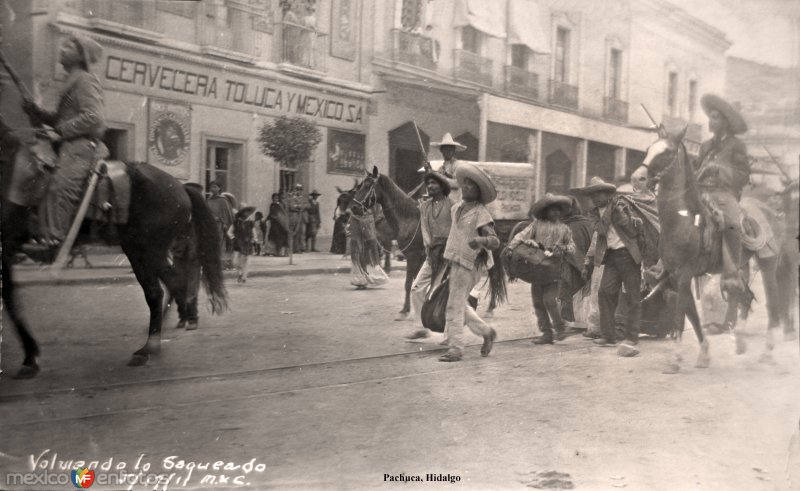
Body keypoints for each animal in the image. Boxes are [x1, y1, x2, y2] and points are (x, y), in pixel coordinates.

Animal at [3, 129, 228, 378]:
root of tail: (181, 188)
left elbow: (11, 301)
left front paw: (30, 357)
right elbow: (11, 299)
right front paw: (29, 357)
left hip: (151, 249)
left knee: (168, 286)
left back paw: (153, 345)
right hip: (136, 250)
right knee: (165, 287)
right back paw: (162, 335)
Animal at [636, 131, 788, 372]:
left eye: (667, 151)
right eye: (649, 148)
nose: (637, 178)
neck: (684, 220)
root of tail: (771, 211)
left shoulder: (684, 275)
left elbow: (680, 316)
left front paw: (675, 359)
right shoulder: (676, 276)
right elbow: (692, 314)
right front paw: (704, 354)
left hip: (768, 265)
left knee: (771, 303)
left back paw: (767, 352)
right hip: (740, 266)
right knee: (743, 296)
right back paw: (740, 341)